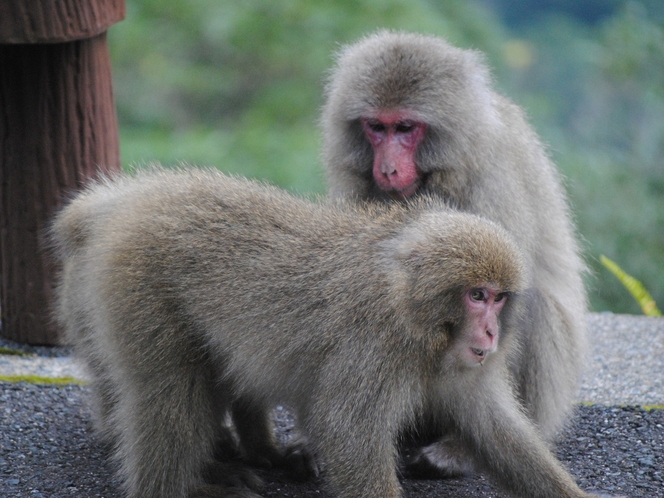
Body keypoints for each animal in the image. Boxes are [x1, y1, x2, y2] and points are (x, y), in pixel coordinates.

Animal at [48, 168, 616, 498]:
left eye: (499, 296)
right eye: (475, 295)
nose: (493, 330)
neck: (414, 317)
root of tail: (132, 201)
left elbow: (495, 428)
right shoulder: (376, 347)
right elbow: (350, 436)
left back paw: (259, 450)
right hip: (137, 282)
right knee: (168, 390)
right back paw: (179, 487)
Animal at [322, 31, 588, 470]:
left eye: (406, 127)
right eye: (376, 127)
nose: (387, 168)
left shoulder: (491, 183)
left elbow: (503, 289)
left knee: (533, 307)